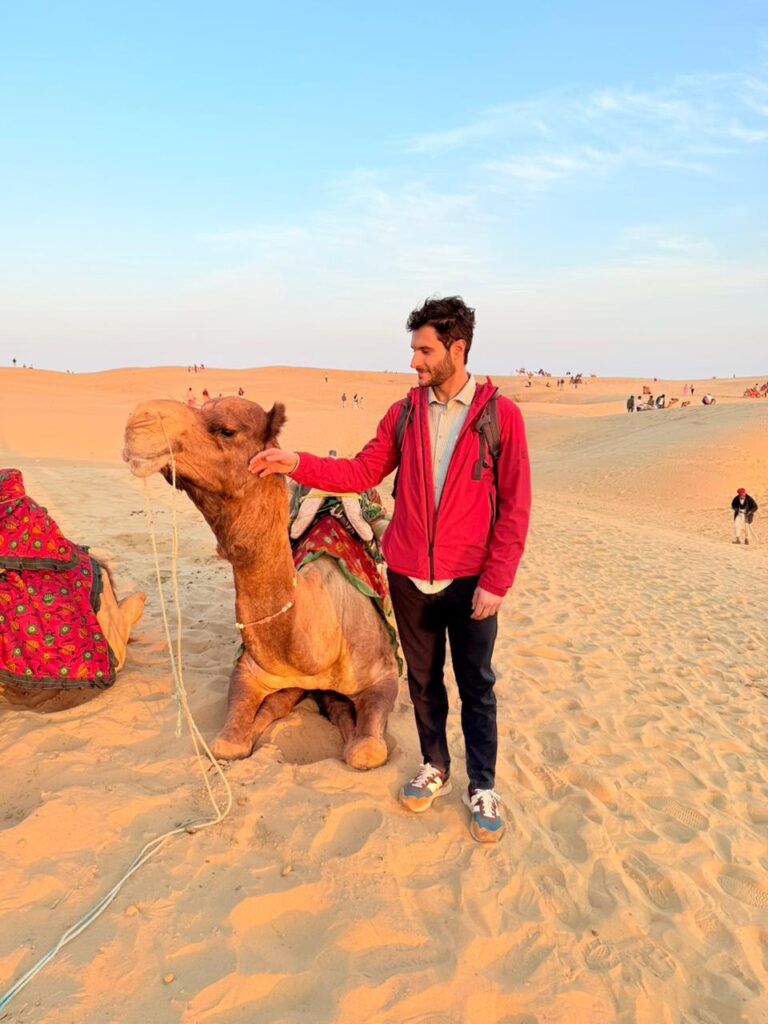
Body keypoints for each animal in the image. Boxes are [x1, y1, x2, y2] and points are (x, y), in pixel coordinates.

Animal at [123, 397, 399, 769]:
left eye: (226, 430)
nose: (139, 419)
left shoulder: (384, 674)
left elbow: (365, 750)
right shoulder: (248, 671)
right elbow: (229, 742)